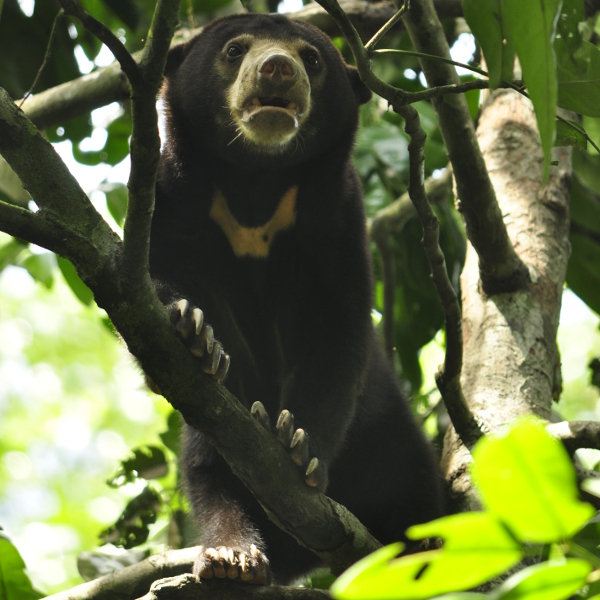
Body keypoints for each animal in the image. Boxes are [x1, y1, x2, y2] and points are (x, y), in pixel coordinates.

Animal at [150, 12, 446, 584]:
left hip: (391, 437)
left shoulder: (336, 217)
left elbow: (334, 332)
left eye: (311, 57)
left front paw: (297, 447)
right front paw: (195, 332)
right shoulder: (172, 195)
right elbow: (166, 283)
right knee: (208, 469)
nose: (277, 68)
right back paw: (231, 558)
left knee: (418, 491)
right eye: (235, 50)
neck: (256, 183)